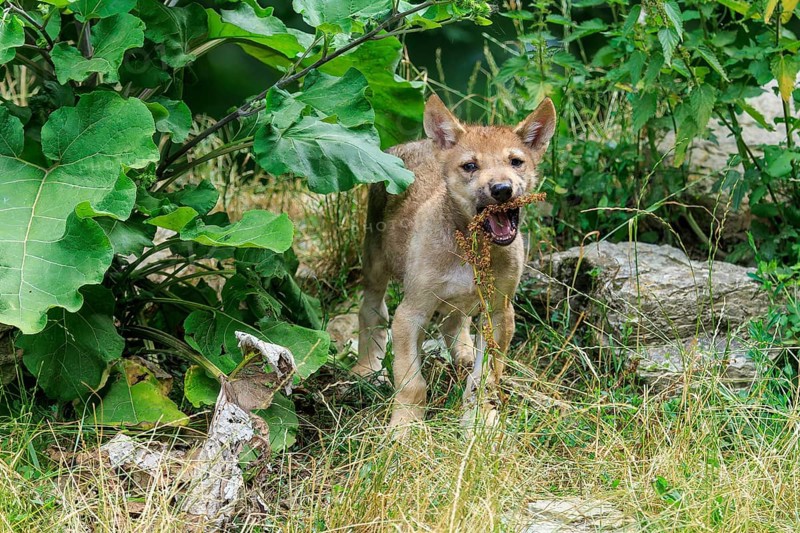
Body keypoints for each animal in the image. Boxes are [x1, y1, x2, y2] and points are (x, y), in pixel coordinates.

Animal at [354, 94, 557, 431]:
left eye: (516, 161)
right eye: (470, 166)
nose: (502, 190)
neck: (473, 250)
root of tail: (413, 142)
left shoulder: (499, 312)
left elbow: (485, 378)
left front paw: (481, 421)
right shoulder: (411, 313)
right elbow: (412, 383)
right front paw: (403, 429)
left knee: (454, 323)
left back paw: (463, 353)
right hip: (375, 265)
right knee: (371, 311)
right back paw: (366, 368)